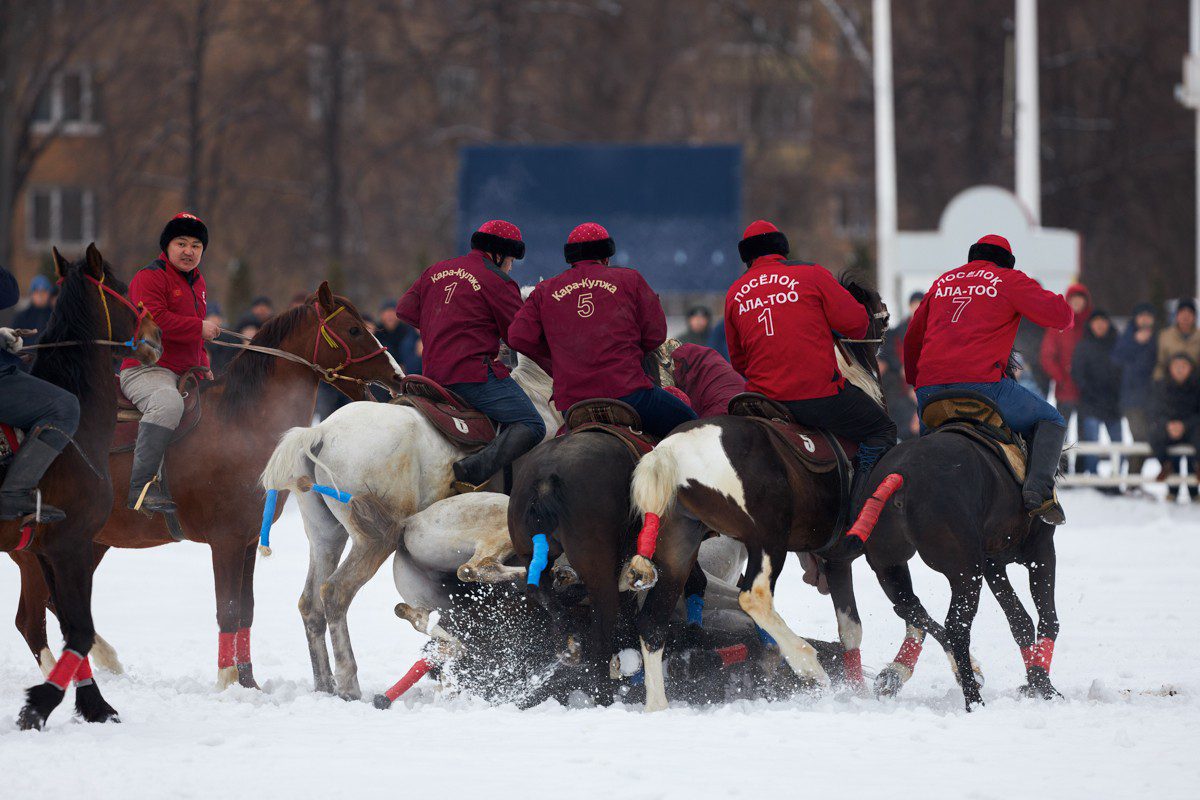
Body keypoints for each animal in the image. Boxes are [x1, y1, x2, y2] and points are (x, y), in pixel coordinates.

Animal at [8, 245, 162, 734]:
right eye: (121, 285)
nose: (154, 333)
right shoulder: (70, 545)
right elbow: (79, 629)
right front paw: (40, 704)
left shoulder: (49, 550)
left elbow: (73, 625)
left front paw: (93, 704)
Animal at [12, 281, 403, 690]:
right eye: (354, 330)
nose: (397, 376)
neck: (242, 423)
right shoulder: (226, 541)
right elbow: (227, 610)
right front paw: (227, 680)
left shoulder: (247, 541)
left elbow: (246, 611)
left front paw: (248, 682)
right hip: (39, 553)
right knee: (31, 621)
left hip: (88, 544)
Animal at [260, 352, 559, 695]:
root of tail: (319, 432)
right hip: (376, 537)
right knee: (336, 592)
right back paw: (349, 683)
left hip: (325, 535)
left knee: (311, 603)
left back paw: (325, 683)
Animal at [624, 277, 888, 714]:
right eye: (870, 307)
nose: (885, 320)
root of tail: (670, 451)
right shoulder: (841, 556)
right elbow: (853, 629)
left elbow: (850, 630)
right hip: (767, 540)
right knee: (754, 598)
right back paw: (806, 662)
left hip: (678, 545)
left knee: (652, 623)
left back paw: (657, 705)